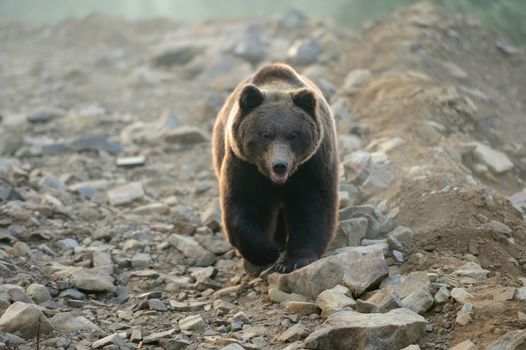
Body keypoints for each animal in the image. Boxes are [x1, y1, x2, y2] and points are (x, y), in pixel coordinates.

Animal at [212, 63, 340, 274]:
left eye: (293, 135)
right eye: (266, 135)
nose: (279, 165)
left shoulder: (312, 165)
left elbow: (312, 206)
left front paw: (293, 260)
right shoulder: (244, 166)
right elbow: (243, 207)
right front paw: (268, 250)